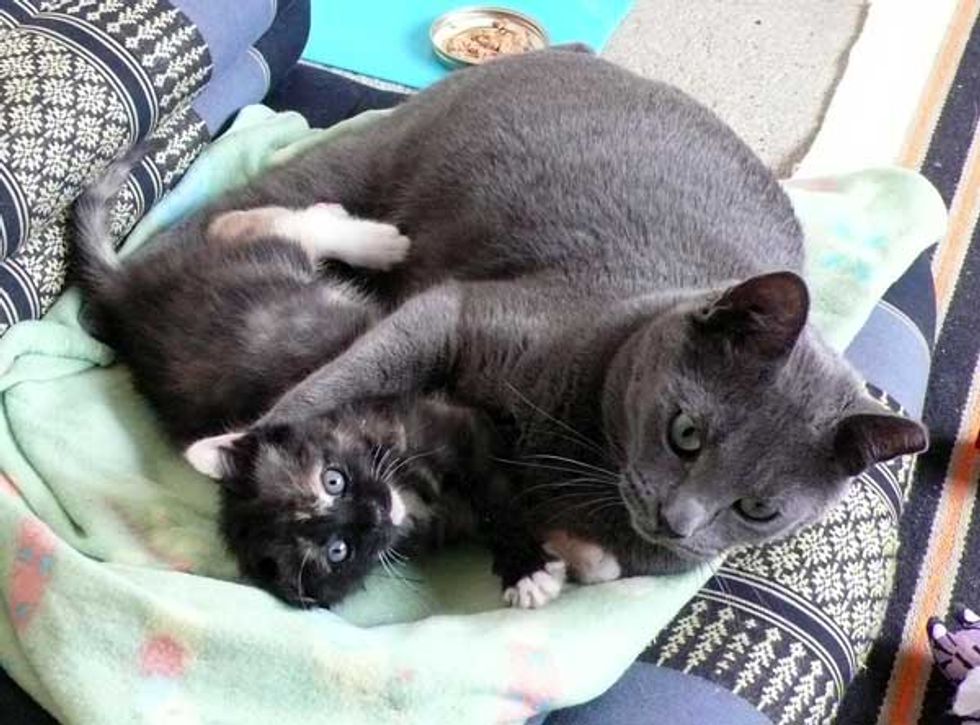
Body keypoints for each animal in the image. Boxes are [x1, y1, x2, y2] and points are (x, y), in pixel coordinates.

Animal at [71, 163, 533, 608]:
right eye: (338, 551)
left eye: (332, 481)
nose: (376, 510)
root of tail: (124, 295)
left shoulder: (450, 421)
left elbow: (498, 493)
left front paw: (524, 564)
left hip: (264, 262)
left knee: (247, 224)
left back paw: (373, 238)